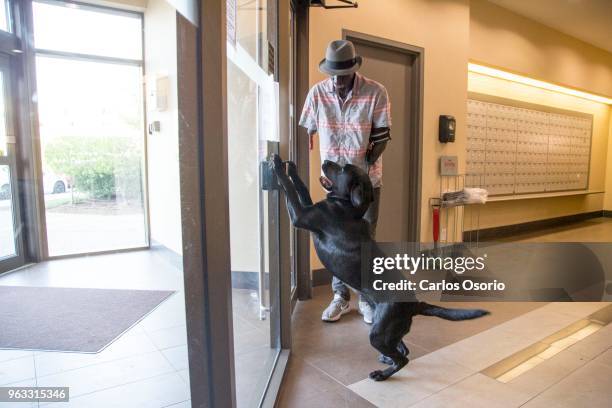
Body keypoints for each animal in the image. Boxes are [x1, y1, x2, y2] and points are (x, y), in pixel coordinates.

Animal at [270, 155, 490, 380]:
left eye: (343, 168)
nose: (327, 160)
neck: (348, 207)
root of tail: (415, 304)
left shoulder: (301, 216)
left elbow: (290, 188)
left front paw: (278, 166)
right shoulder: (309, 207)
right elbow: (301, 186)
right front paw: (292, 168)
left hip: (378, 333)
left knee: (403, 358)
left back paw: (382, 374)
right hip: (387, 330)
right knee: (403, 349)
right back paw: (386, 359)